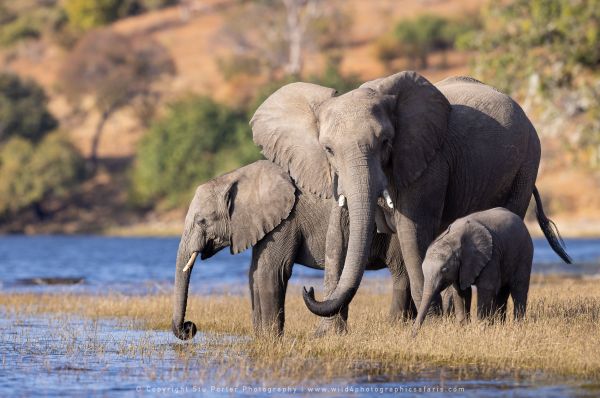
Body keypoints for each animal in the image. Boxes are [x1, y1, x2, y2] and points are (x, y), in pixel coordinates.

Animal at [171, 160, 410, 340]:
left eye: (202, 221)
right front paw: (261, 338)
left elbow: (270, 272)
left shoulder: (286, 220)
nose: (189, 327)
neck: (237, 177)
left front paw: (270, 339)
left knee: (401, 272)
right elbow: (255, 274)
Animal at [251, 70, 568, 318]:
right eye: (328, 149)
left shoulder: (428, 163)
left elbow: (411, 232)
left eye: (385, 142)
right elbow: (338, 232)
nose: (309, 289)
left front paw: (434, 323)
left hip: (527, 163)